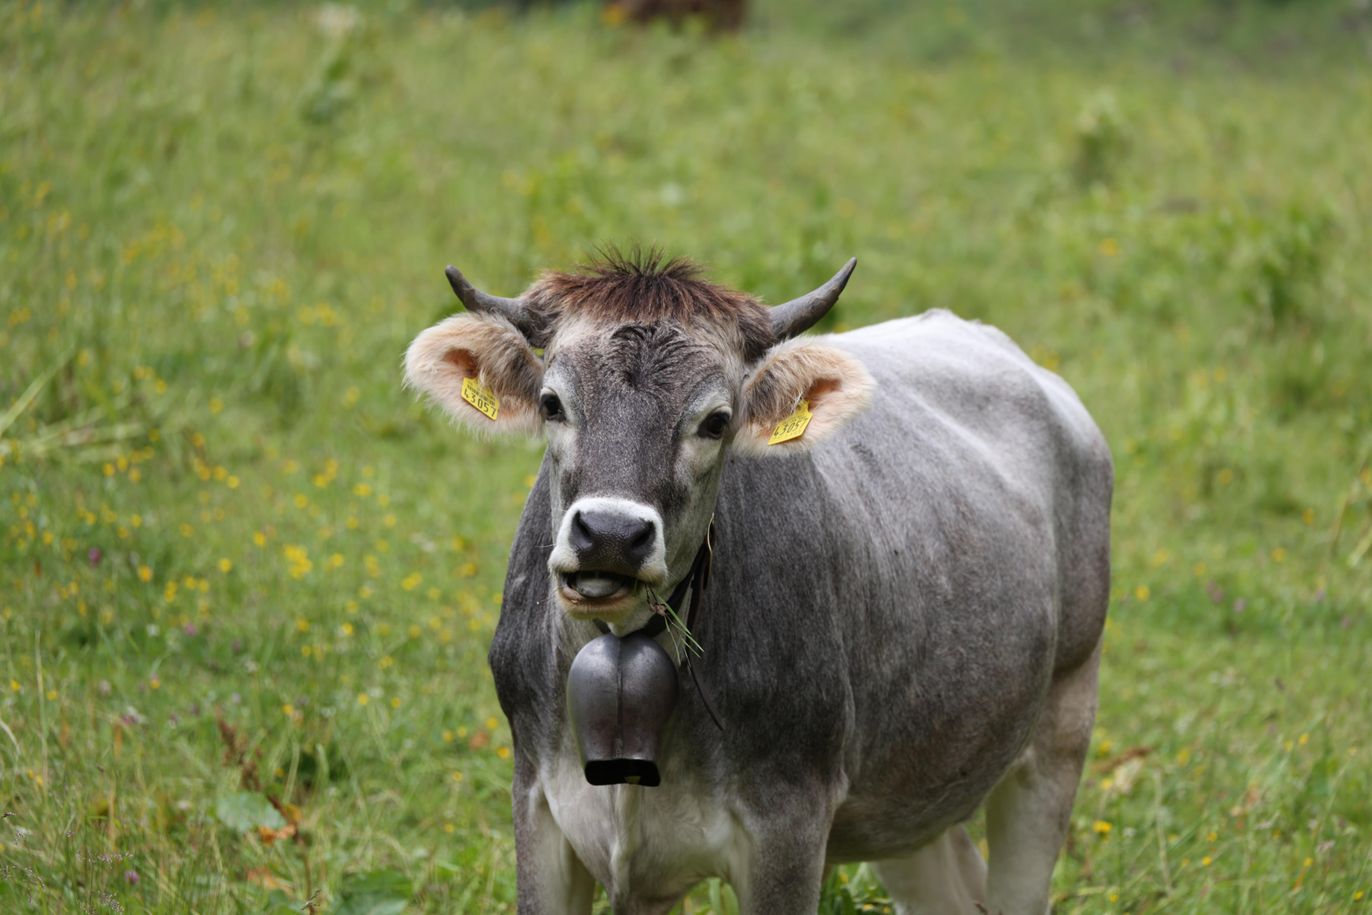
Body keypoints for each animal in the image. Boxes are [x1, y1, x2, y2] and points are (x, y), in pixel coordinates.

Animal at [404, 250, 1112, 914]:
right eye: (553, 403)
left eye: (716, 420)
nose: (609, 533)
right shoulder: (539, 807)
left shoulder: (789, 828)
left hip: (1063, 721)